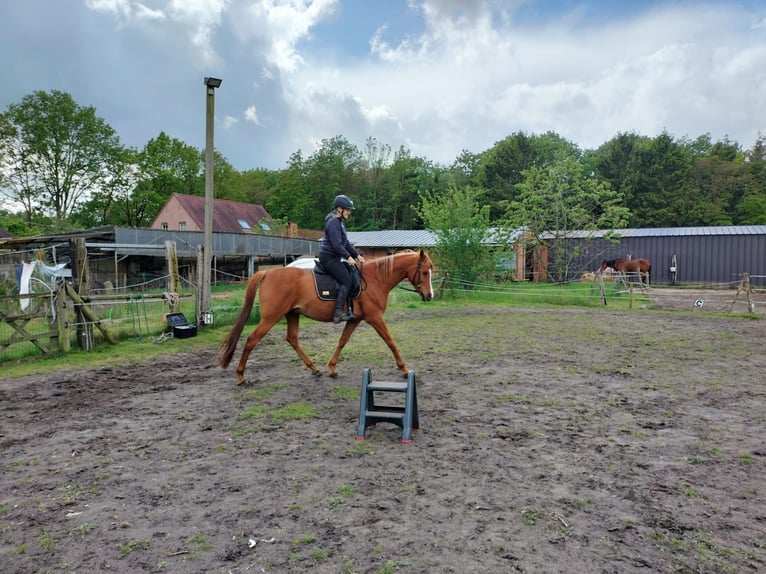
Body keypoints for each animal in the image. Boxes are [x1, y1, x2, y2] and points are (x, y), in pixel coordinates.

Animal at [218, 250, 435, 384]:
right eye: (424, 272)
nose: (430, 295)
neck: (375, 280)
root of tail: (269, 272)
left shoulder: (355, 319)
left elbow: (342, 341)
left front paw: (332, 367)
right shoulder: (374, 318)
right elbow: (390, 341)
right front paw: (404, 369)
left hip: (291, 314)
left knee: (292, 339)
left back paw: (314, 368)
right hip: (271, 318)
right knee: (251, 340)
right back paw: (241, 375)